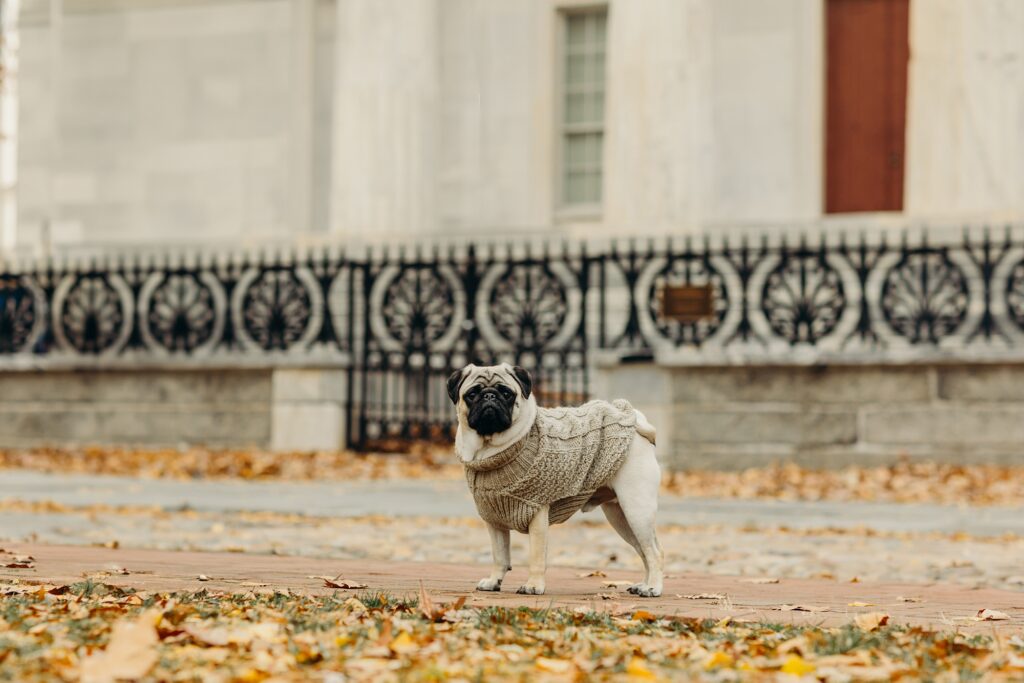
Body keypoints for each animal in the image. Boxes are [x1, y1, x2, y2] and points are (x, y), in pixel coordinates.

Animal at [448, 362, 663, 598]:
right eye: (472, 394)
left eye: (506, 393)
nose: (489, 396)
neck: (490, 450)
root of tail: (631, 419)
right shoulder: (494, 520)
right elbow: (500, 556)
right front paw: (494, 580)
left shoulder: (537, 514)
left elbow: (536, 557)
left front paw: (533, 585)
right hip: (621, 517)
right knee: (644, 551)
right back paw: (643, 584)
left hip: (636, 510)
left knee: (654, 552)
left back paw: (653, 587)